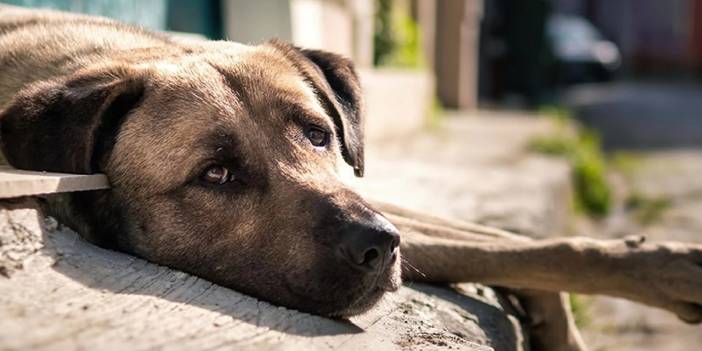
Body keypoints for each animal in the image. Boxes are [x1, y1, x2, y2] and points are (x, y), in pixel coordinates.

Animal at [1, 6, 702, 351]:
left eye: (318, 134)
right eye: (216, 173)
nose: (379, 245)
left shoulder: (371, 195)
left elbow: (512, 242)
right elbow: (502, 246)